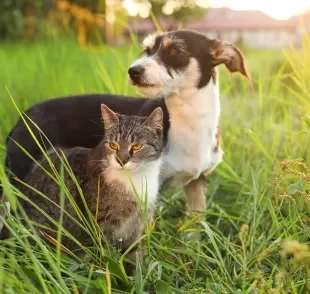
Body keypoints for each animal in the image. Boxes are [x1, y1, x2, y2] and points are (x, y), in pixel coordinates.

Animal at [0, 104, 165, 274]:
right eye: (114, 145)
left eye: (137, 146)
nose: (121, 160)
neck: (135, 179)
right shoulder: (101, 226)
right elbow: (106, 259)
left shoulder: (139, 224)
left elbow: (134, 255)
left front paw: (137, 275)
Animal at [1, 29, 249, 216]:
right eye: (147, 51)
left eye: (173, 50)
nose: (133, 71)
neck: (188, 121)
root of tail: (22, 118)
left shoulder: (197, 182)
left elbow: (195, 224)